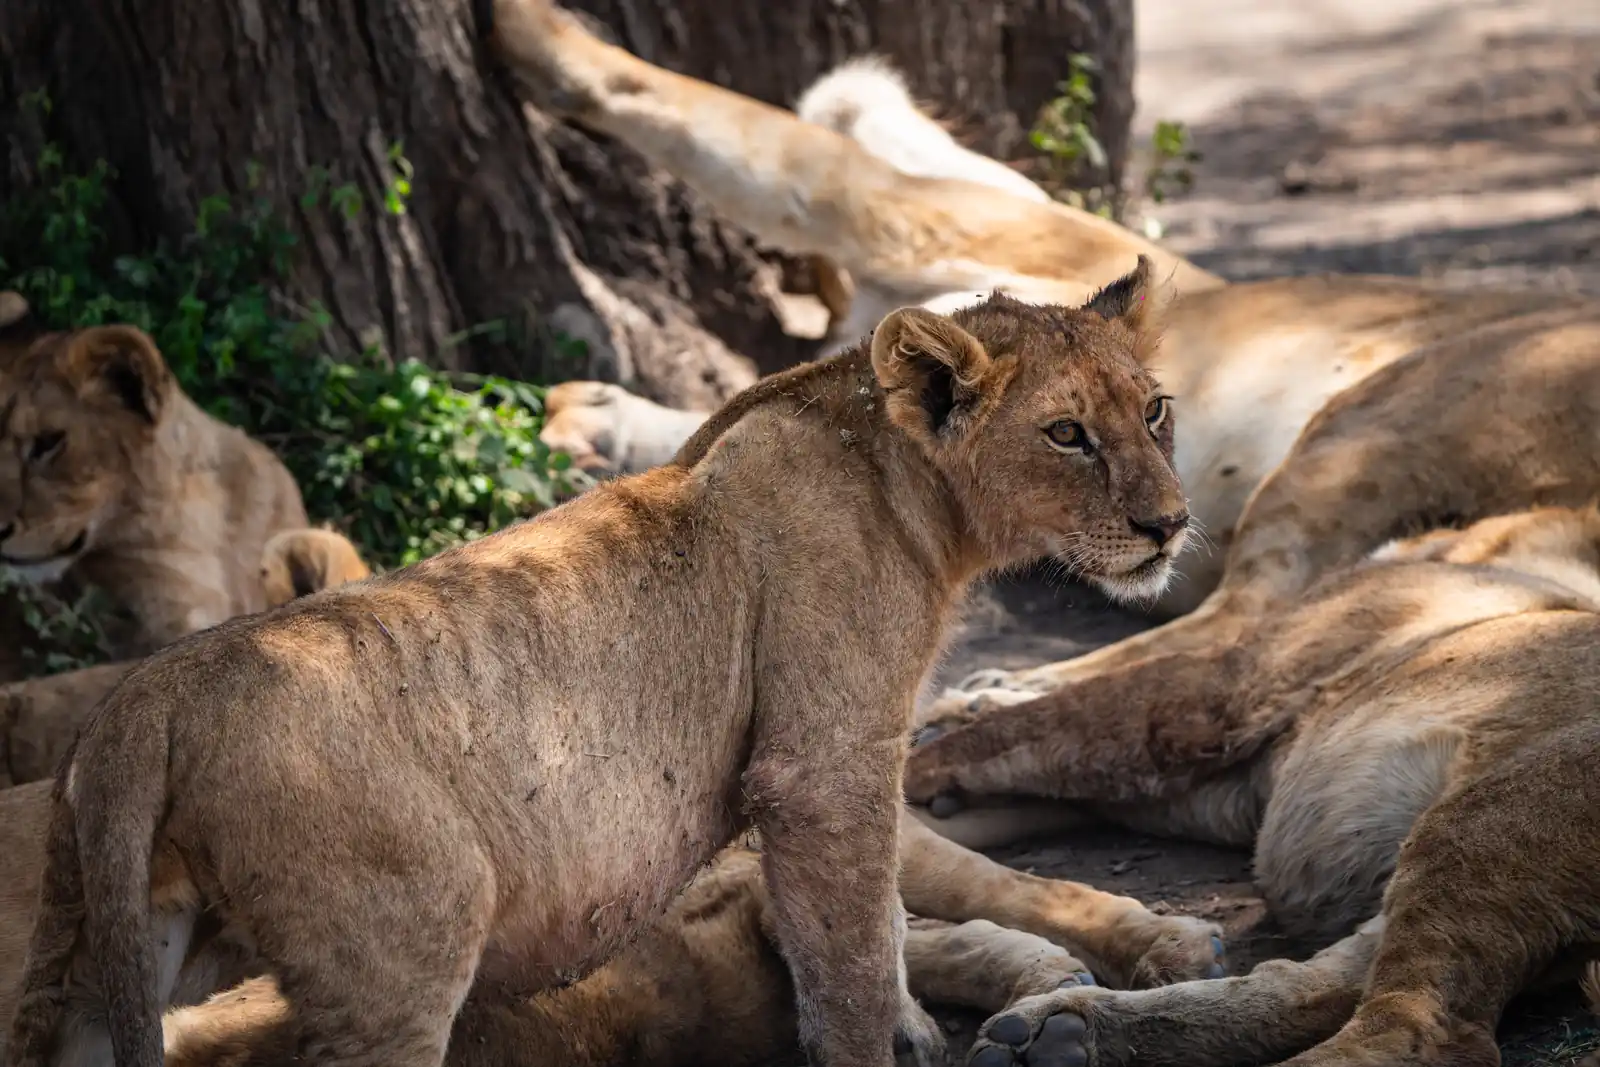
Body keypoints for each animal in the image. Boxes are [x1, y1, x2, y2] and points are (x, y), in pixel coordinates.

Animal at [486, 0, 1582, 616]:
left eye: (1153, 412)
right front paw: (601, 432)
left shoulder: (909, 215)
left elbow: (719, 125)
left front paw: (519, 30)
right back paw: (587, 418)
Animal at [896, 504, 1600, 1066]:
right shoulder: (1208, 788)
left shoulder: (1215, 691)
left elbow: (1010, 730)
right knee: (1321, 987)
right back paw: (1060, 1033)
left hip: (1485, 819)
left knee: (1424, 1030)